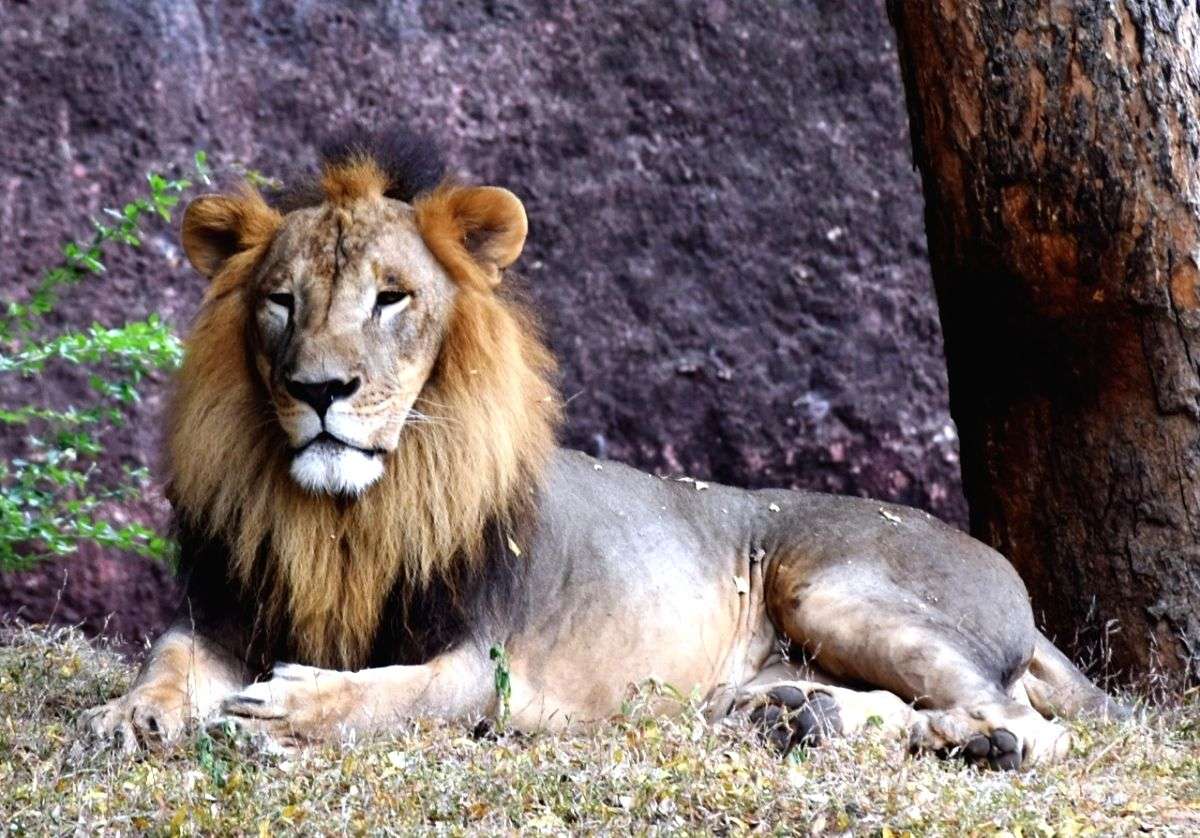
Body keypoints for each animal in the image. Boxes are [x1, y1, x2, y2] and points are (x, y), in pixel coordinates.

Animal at [82, 128, 1126, 770]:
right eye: (280, 301)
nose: (319, 390)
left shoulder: (492, 665)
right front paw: (127, 715)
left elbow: (397, 695)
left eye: (390, 298)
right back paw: (799, 715)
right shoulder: (227, 612)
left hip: (835, 587)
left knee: (1028, 726)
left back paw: (965, 741)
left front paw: (291, 707)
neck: (350, 516)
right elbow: (169, 653)